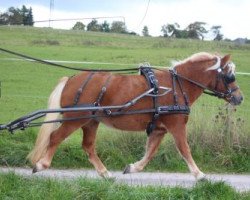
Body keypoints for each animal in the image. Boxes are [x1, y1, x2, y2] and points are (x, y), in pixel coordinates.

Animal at [26, 51, 242, 180]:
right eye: (229, 76)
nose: (239, 97)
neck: (177, 86)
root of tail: (70, 79)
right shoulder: (177, 125)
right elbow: (184, 149)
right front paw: (199, 174)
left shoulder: (159, 129)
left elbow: (150, 152)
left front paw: (133, 168)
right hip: (76, 119)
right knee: (55, 137)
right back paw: (42, 164)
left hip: (91, 121)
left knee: (88, 146)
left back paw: (105, 173)